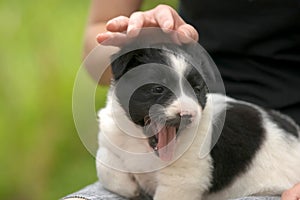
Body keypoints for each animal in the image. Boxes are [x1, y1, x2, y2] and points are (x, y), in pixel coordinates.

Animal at [95, 43, 300, 199]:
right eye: (158, 88)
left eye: (196, 89)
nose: (187, 115)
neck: (141, 144)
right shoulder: (109, 143)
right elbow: (106, 168)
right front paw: (133, 187)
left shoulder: (182, 179)